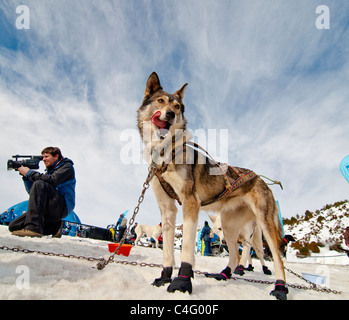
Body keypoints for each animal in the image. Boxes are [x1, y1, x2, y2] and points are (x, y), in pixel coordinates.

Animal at [137, 72, 286, 300]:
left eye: (178, 106)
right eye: (160, 100)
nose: (170, 114)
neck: (165, 153)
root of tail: (261, 179)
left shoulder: (190, 202)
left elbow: (186, 248)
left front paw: (182, 282)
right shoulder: (167, 208)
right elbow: (167, 252)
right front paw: (165, 277)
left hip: (265, 225)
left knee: (277, 259)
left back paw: (280, 288)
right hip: (228, 226)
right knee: (234, 256)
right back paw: (223, 275)